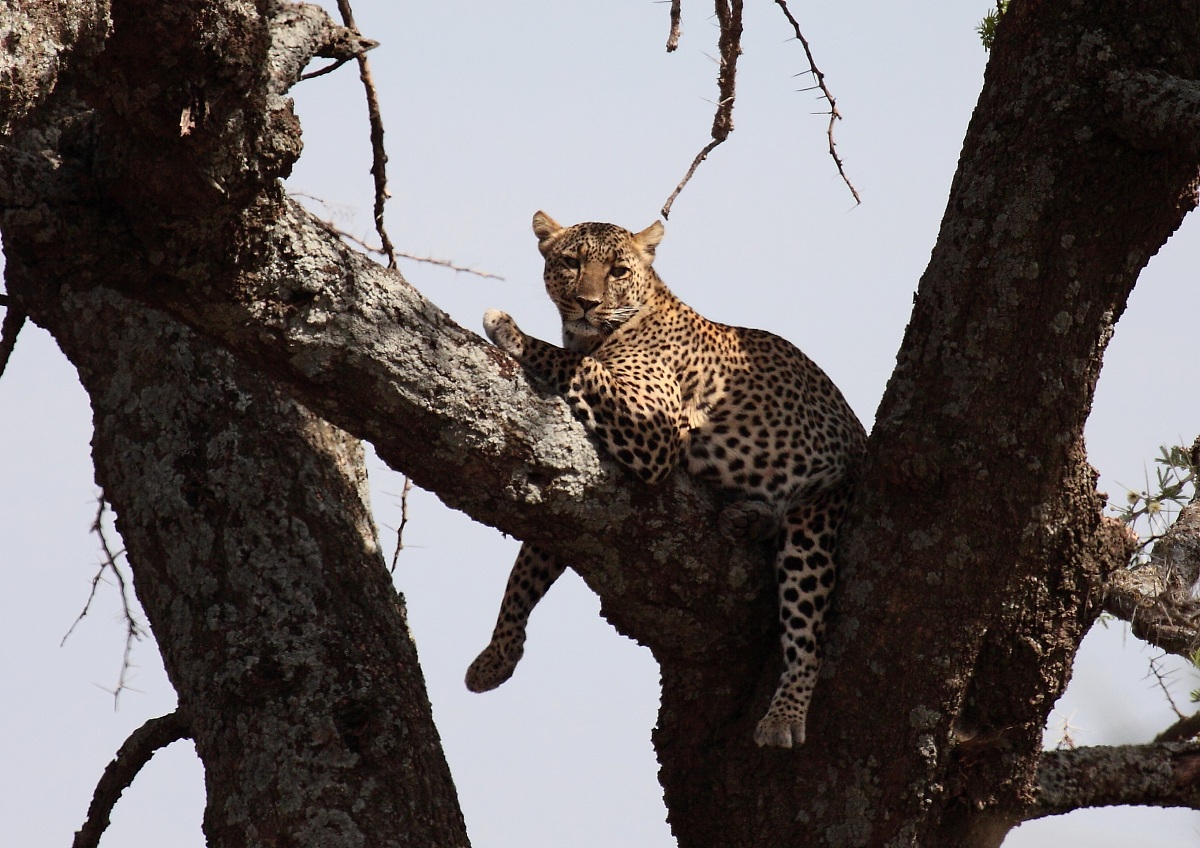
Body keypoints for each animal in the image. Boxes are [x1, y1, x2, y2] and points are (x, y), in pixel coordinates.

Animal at [466, 211, 866, 748]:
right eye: (571, 263)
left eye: (617, 271)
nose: (588, 303)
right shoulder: (572, 498)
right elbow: (526, 569)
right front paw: (497, 656)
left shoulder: (653, 427)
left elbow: (577, 363)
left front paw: (506, 328)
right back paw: (747, 516)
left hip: (815, 522)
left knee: (808, 633)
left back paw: (783, 716)